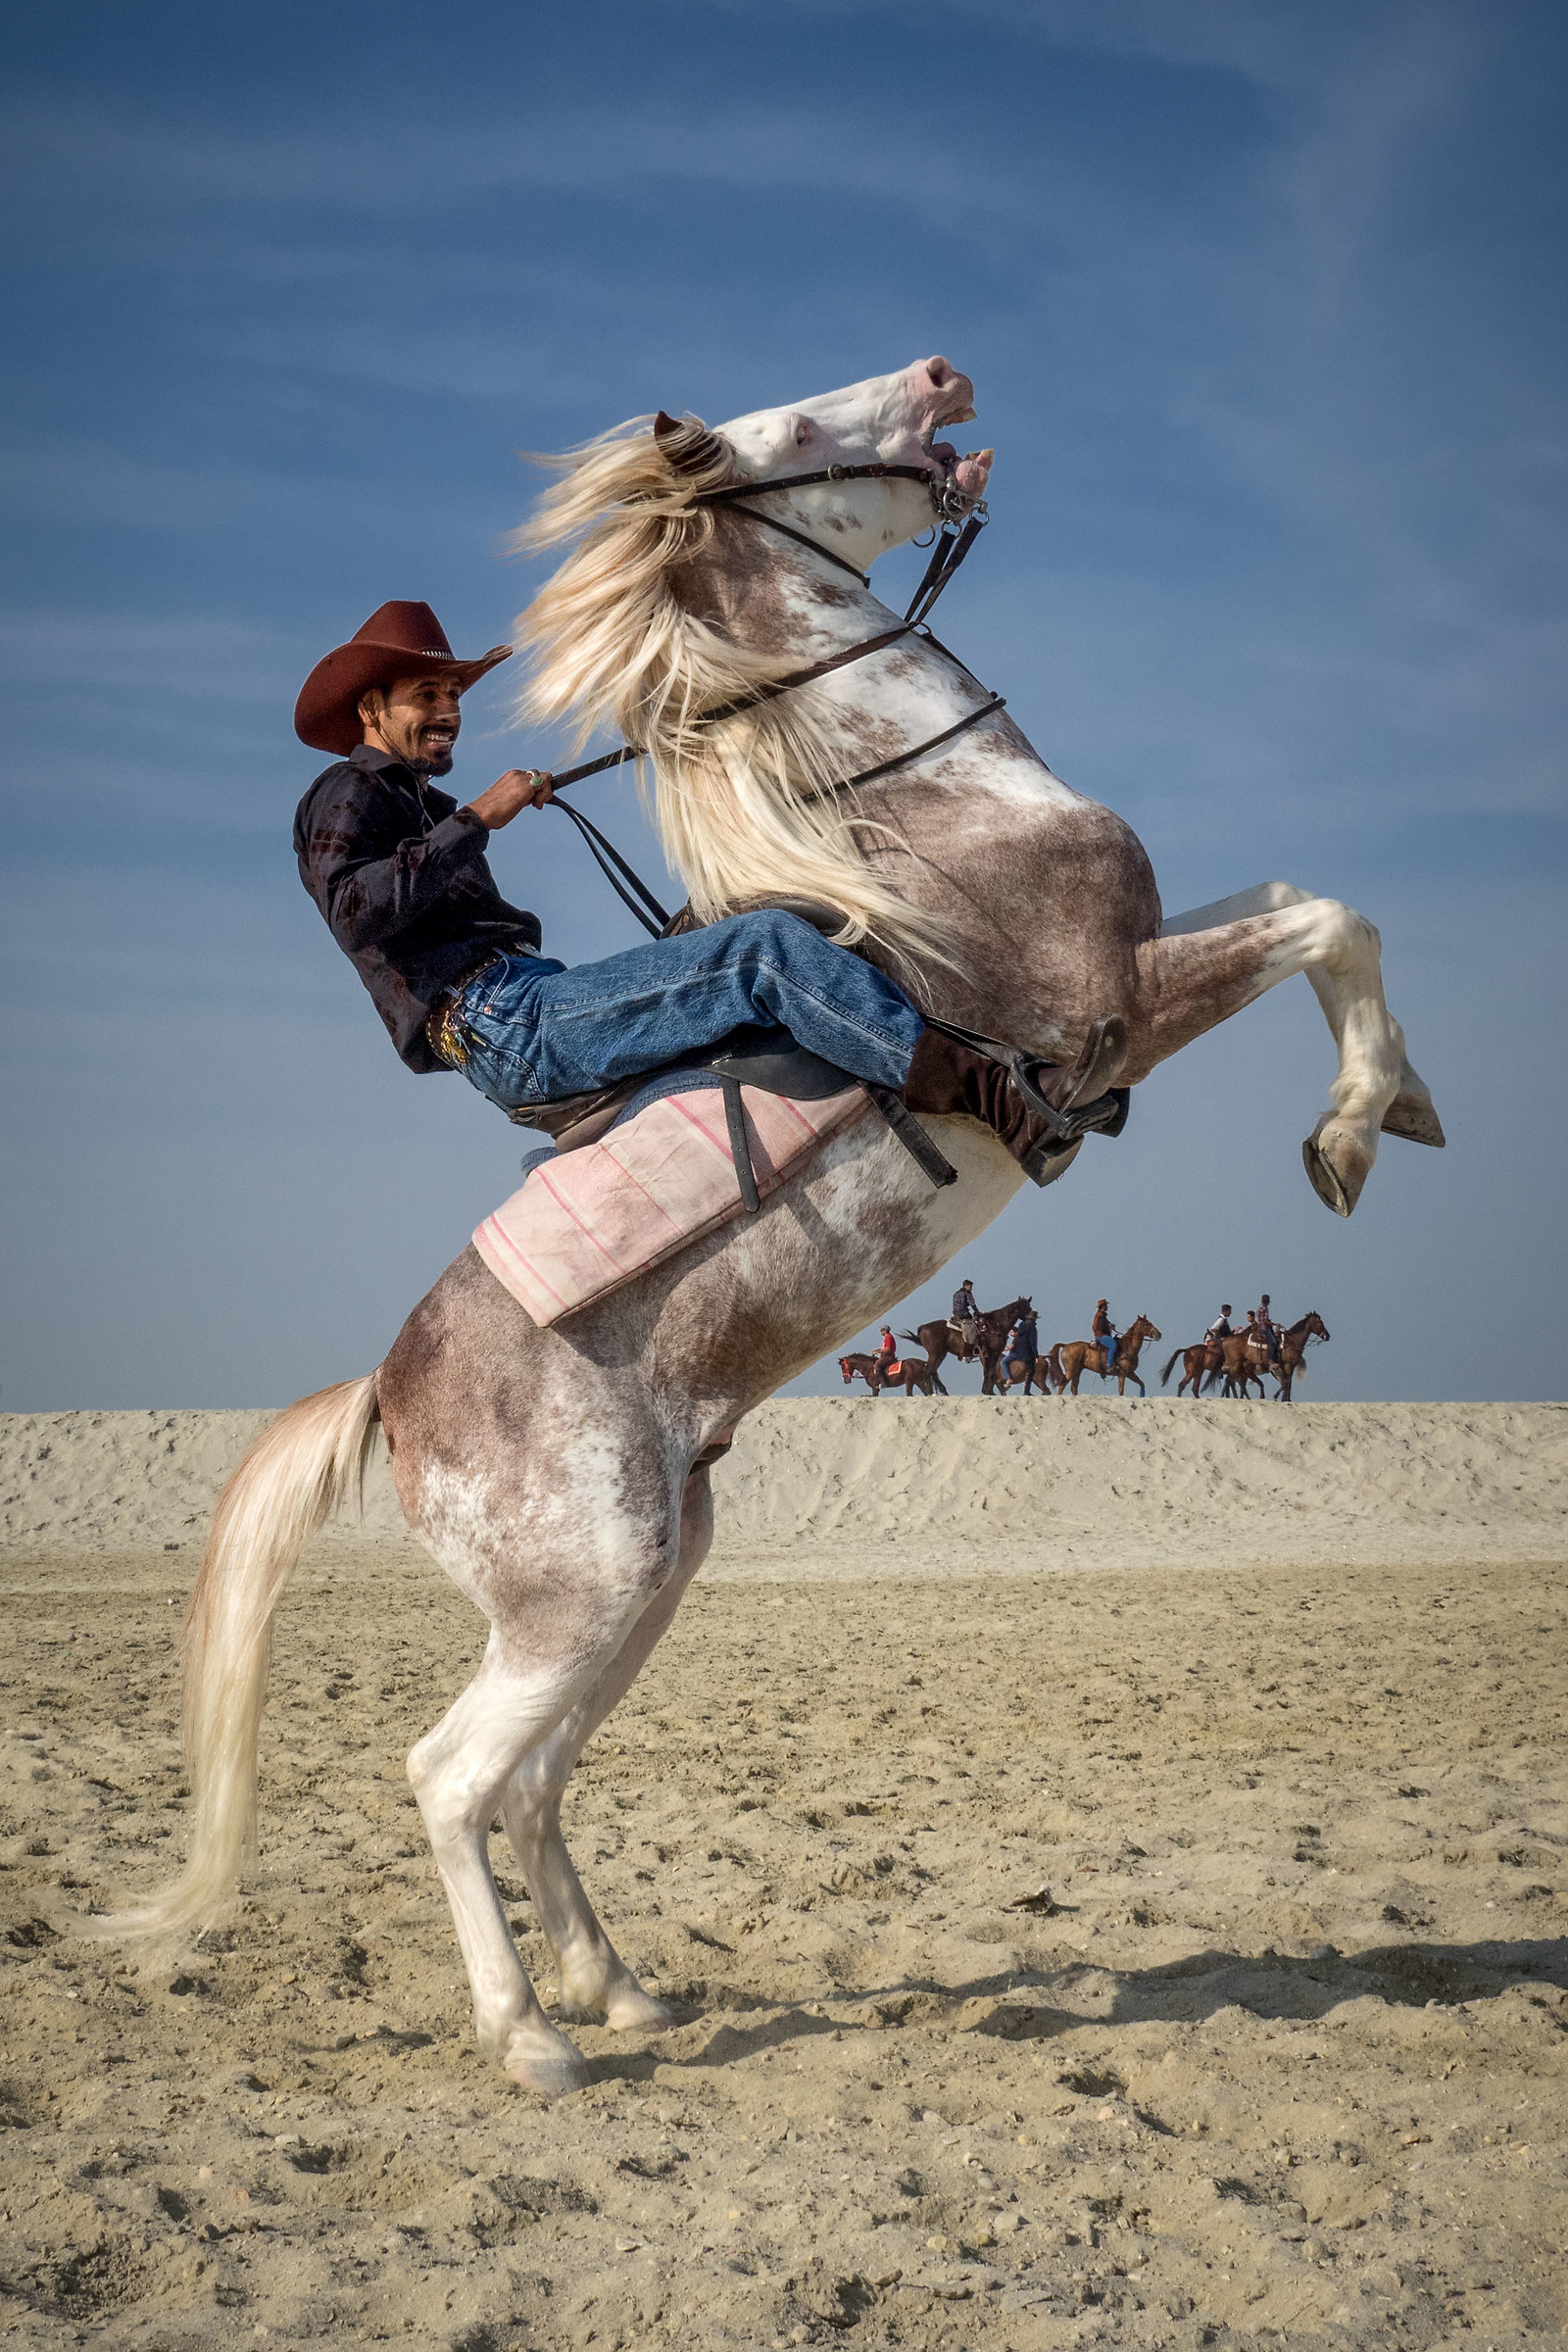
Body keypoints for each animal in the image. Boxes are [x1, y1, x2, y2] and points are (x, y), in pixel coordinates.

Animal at [900, 1294, 1033, 1398]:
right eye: (1025, 1306)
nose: (1034, 1315)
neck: (995, 1325)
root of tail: (923, 1327)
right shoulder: (992, 1353)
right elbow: (991, 1372)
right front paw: (989, 1392)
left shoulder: (986, 1355)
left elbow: (988, 1372)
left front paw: (986, 1391)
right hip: (936, 1353)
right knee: (930, 1371)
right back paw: (935, 1393)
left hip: (940, 1354)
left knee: (932, 1371)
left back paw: (941, 1392)